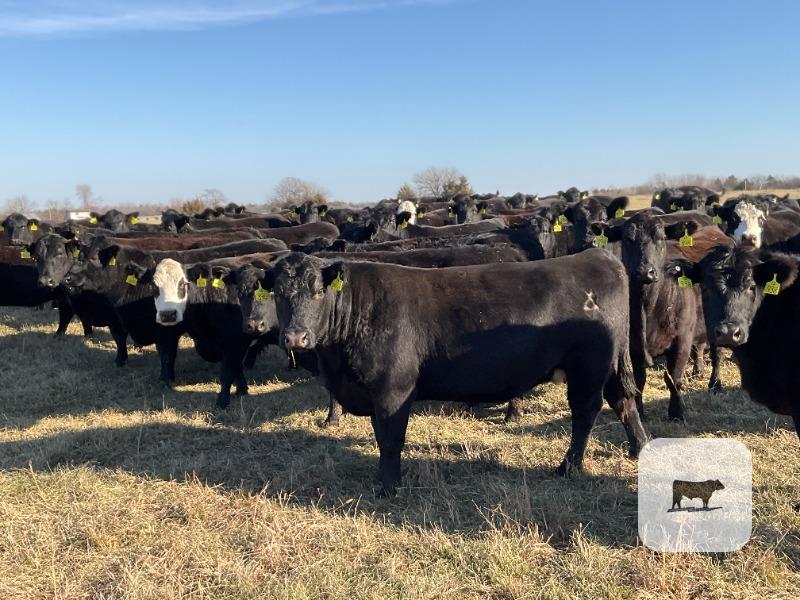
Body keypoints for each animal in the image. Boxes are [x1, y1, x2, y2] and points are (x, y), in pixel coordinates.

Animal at [269, 250, 648, 494]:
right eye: (277, 293)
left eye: (318, 292)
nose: (295, 336)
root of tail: (598, 256)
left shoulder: (392, 390)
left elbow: (390, 440)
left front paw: (389, 486)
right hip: (608, 366)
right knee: (623, 401)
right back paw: (639, 448)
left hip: (588, 367)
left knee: (586, 412)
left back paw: (569, 467)